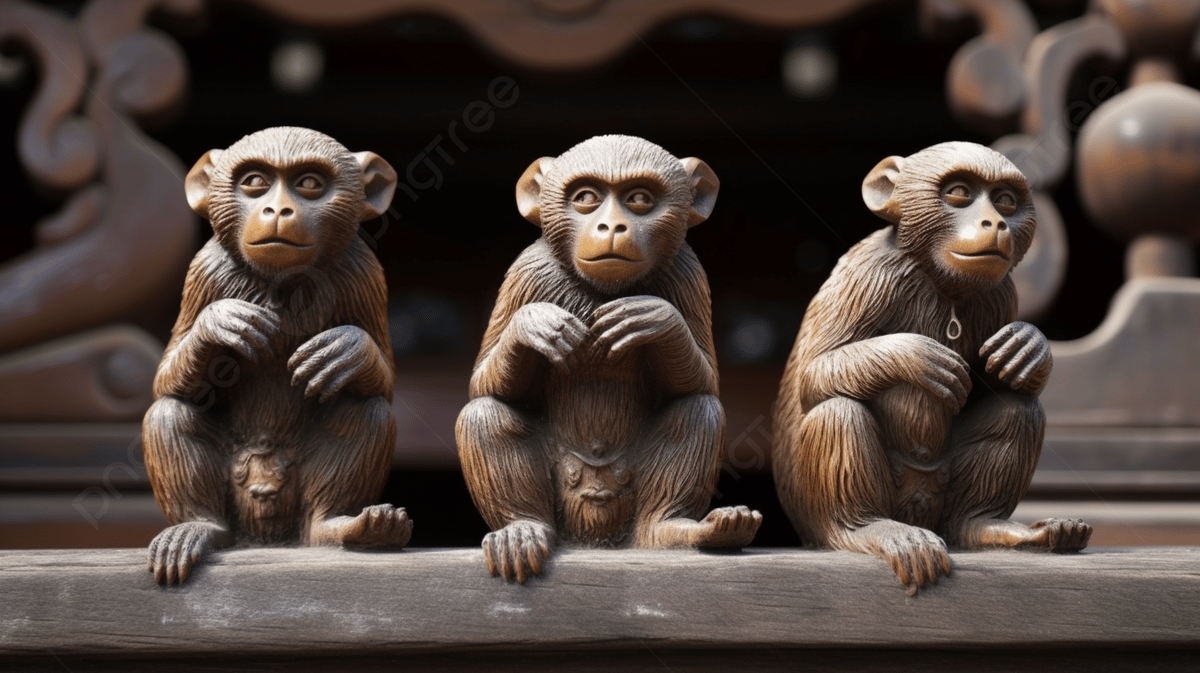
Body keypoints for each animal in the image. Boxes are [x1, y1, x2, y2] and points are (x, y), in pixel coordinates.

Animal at [143, 127, 411, 585]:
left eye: (309, 184)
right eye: (254, 182)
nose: (279, 210)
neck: (281, 283)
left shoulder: (364, 274)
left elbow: (386, 378)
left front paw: (348, 349)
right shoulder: (204, 272)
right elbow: (164, 377)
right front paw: (218, 325)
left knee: (367, 407)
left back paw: (345, 527)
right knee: (170, 410)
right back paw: (196, 526)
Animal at [456, 135, 762, 583]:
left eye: (639, 199)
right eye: (586, 198)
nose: (612, 227)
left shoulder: (689, 274)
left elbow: (704, 380)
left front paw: (653, 317)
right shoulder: (525, 274)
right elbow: (482, 381)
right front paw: (535, 325)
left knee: (698, 408)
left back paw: (680, 529)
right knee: (484, 413)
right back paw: (522, 528)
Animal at [773, 141, 1091, 593]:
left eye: (1005, 200)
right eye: (958, 192)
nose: (995, 223)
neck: (939, 278)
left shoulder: (1001, 294)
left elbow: (999, 379)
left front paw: (1032, 346)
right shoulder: (868, 276)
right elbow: (814, 374)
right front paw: (913, 355)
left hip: (943, 501)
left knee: (1018, 409)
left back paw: (990, 525)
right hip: (812, 513)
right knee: (837, 410)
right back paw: (868, 528)